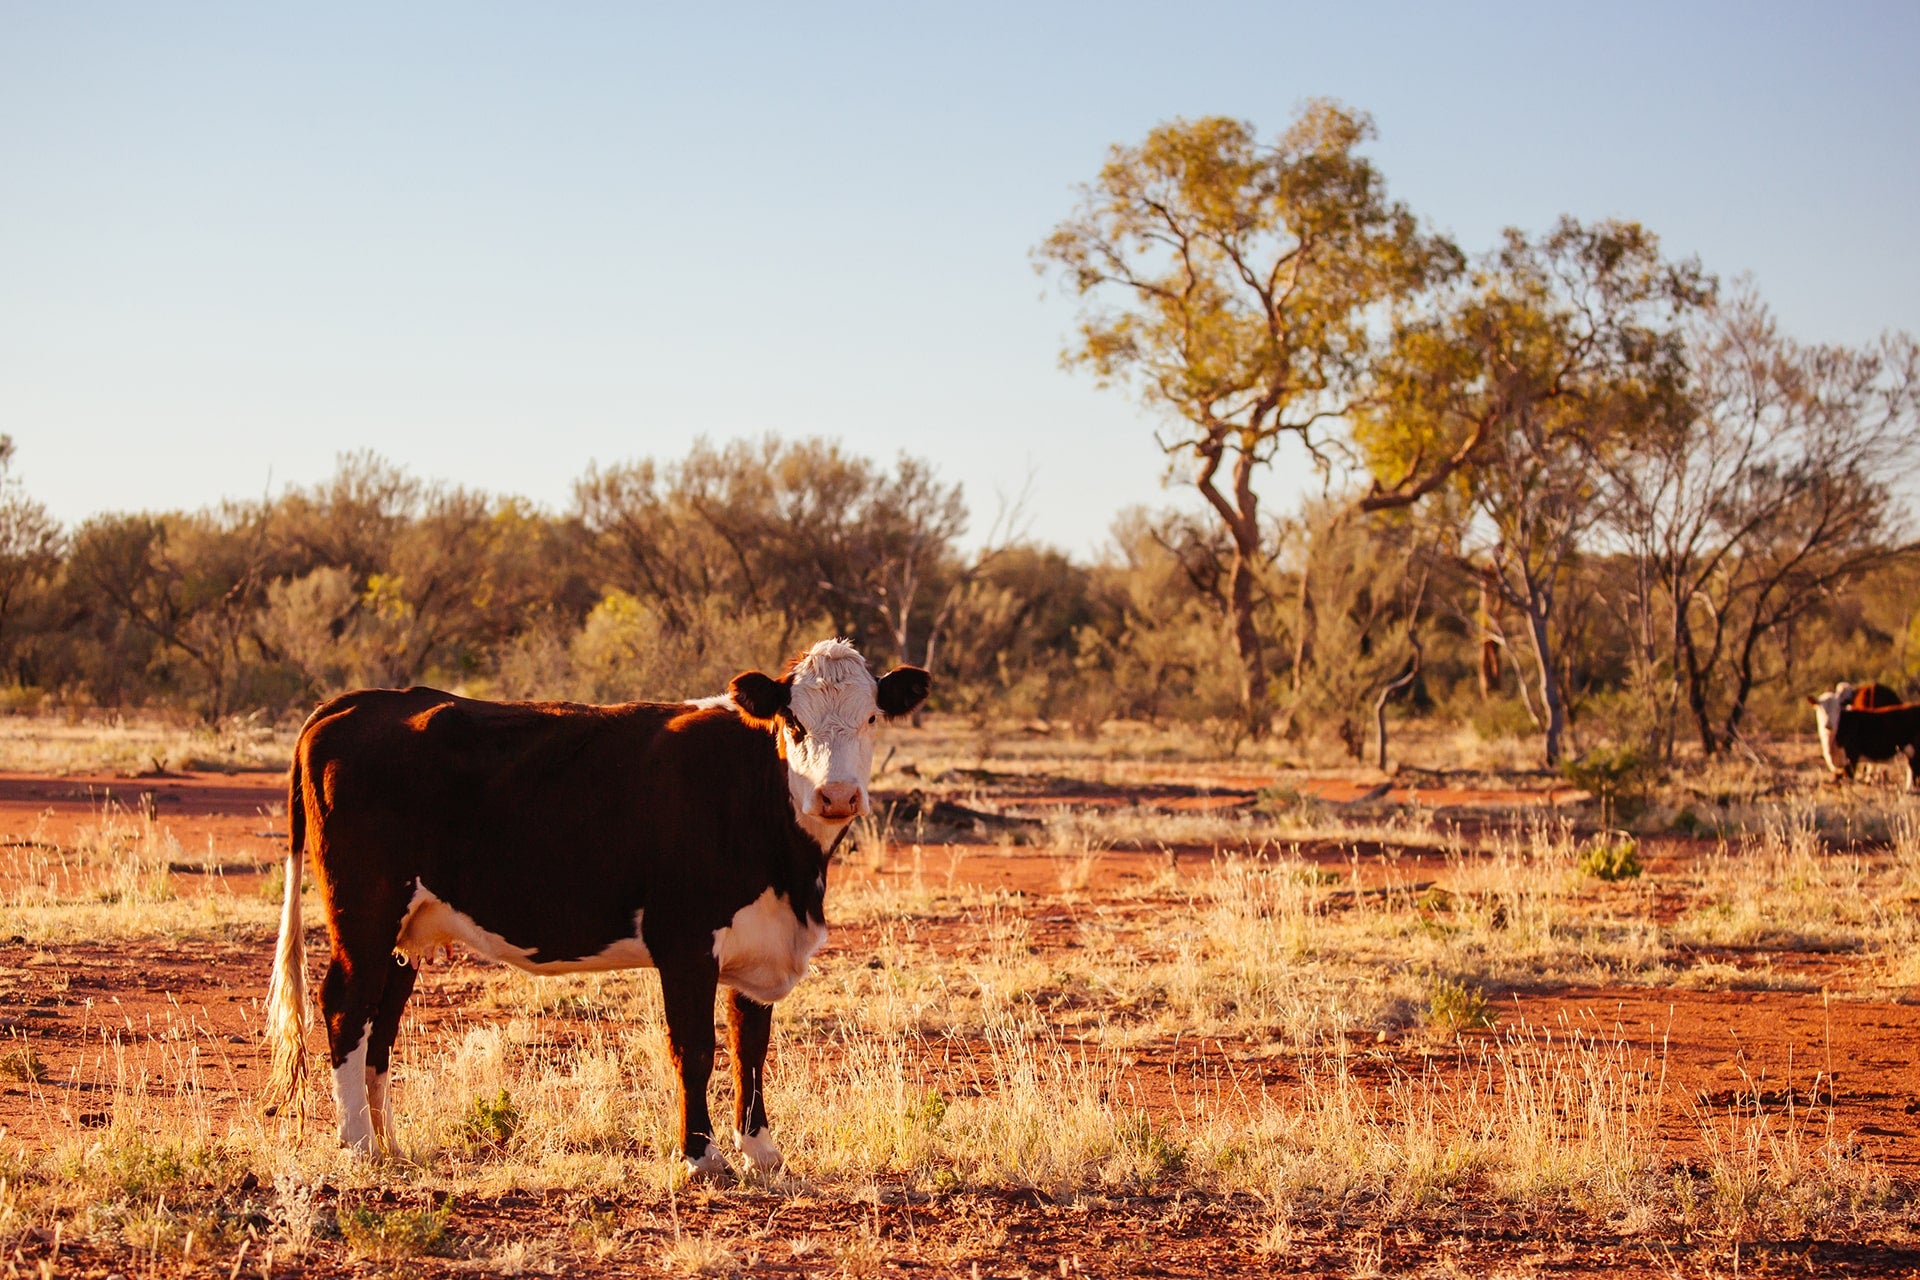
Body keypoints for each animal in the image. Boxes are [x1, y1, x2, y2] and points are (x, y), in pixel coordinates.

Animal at [264, 640, 936, 1182]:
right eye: (793, 721)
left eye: (871, 717)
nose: (836, 796)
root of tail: (358, 703)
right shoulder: (685, 940)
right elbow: (694, 1048)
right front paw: (700, 1157)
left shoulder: (759, 941)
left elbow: (751, 1048)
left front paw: (762, 1152)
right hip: (364, 912)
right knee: (345, 1007)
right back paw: (357, 1146)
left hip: (405, 930)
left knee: (380, 1023)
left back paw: (390, 1145)